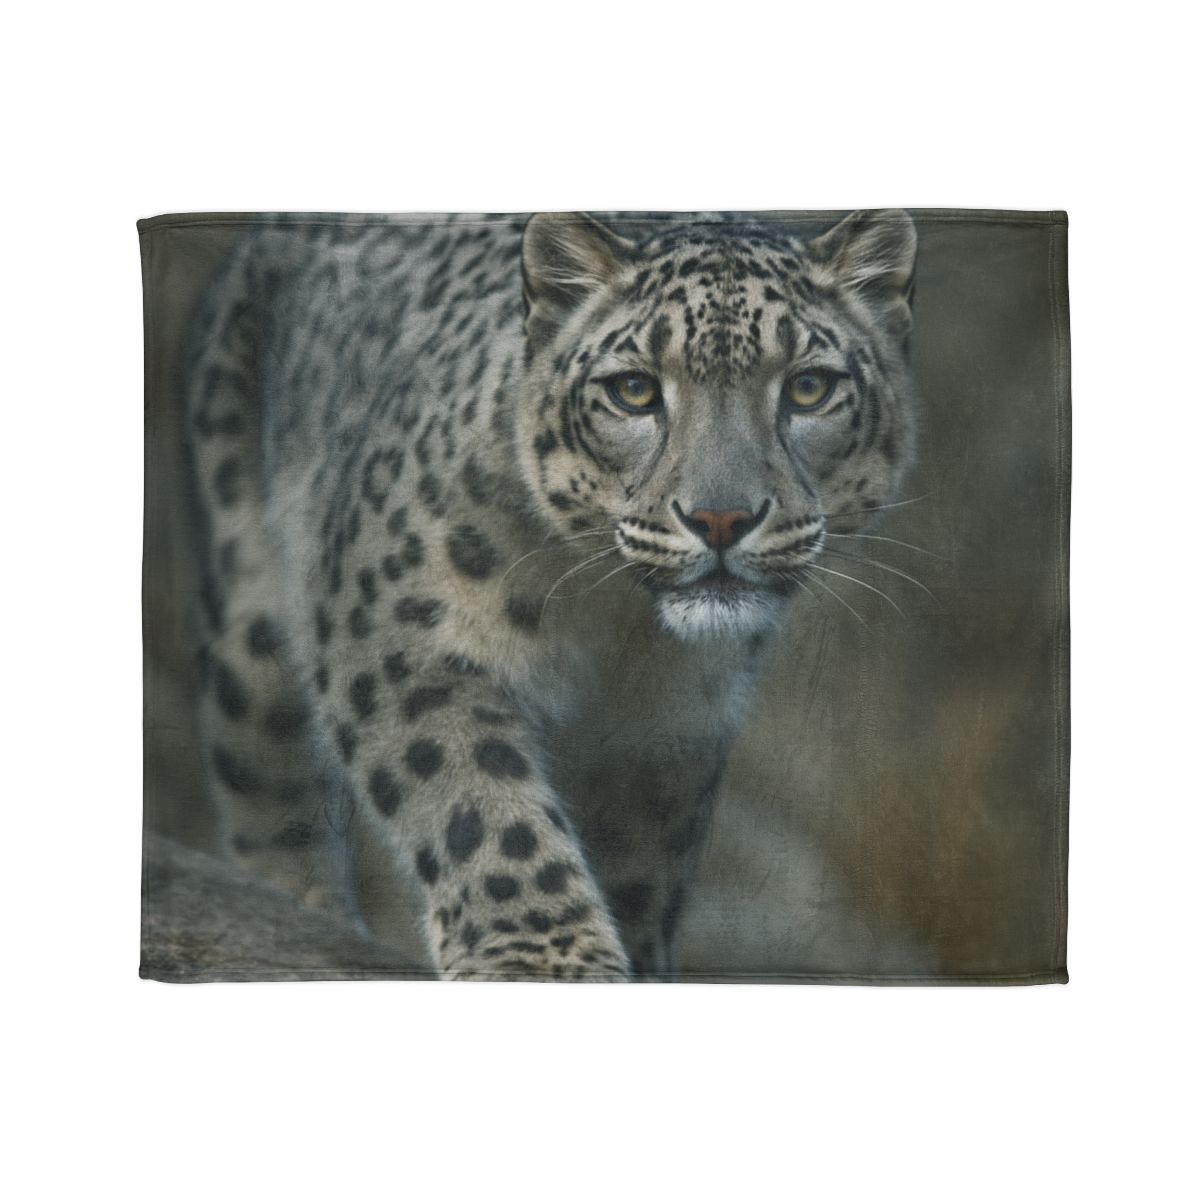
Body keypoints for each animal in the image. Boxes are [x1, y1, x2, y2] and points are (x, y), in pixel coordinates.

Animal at [186, 209, 918, 980]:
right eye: (633, 390)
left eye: (809, 387)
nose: (721, 518)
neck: (619, 628)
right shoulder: (400, 631)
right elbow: (475, 797)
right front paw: (542, 957)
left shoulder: (673, 727)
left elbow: (641, 857)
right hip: (248, 625)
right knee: (267, 785)